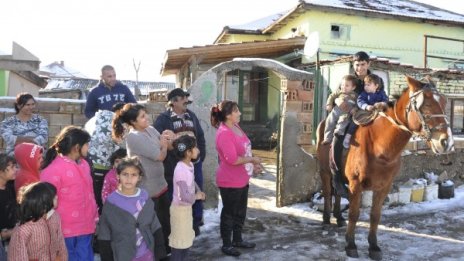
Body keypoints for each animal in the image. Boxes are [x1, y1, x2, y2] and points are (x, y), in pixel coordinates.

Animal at [316, 74, 454, 258]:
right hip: (324, 171)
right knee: (327, 191)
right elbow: (354, 214)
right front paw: (351, 245)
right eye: (425, 104)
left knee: (337, 191)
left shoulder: (384, 186)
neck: (378, 146)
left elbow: (375, 215)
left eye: (444, 103)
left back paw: (338, 217)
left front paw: (373, 246)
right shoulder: (355, 185)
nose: (446, 142)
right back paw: (326, 219)